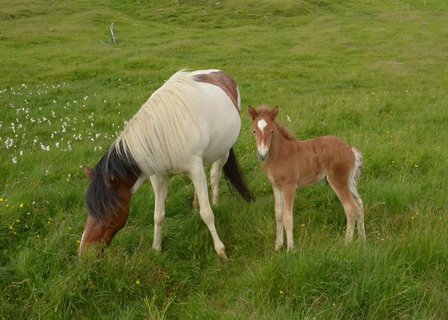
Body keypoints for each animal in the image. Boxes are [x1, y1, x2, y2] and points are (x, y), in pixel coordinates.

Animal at [79, 69, 252, 260]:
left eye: (111, 214)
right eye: (89, 211)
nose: (84, 253)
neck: (163, 133)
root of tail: (221, 73)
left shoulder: (195, 168)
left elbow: (207, 214)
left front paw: (221, 252)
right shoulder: (159, 177)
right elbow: (158, 215)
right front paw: (156, 248)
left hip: (224, 150)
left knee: (215, 174)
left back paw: (215, 201)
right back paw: (195, 203)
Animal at [247, 105, 366, 250]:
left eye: (271, 131)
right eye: (253, 131)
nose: (262, 155)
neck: (280, 155)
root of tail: (350, 149)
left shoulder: (289, 186)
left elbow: (288, 218)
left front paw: (290, 249)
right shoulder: (275, 186)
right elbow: (278, 214)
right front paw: (278, 246)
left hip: (338, 180)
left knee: (350, 207)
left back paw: (347, 243)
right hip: (349, 182)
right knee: (359, 203)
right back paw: (362, 239)